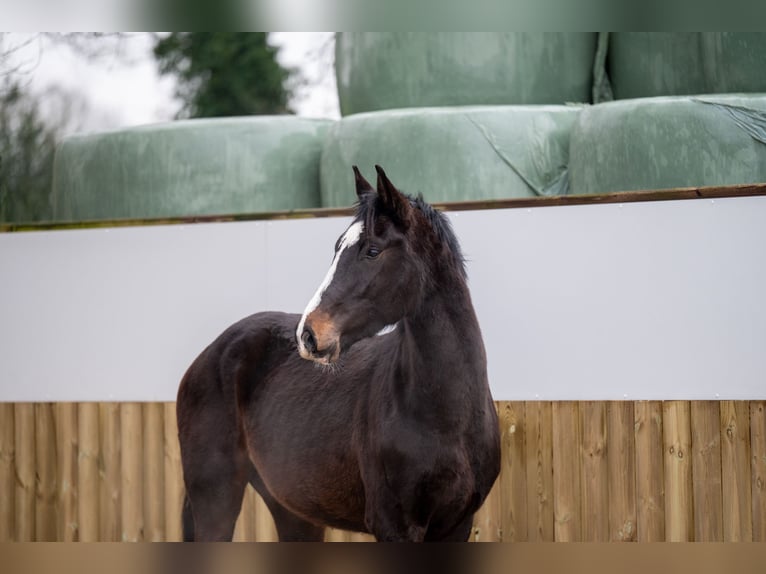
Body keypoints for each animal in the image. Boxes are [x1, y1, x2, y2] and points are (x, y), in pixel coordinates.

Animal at [176, 164, 504, 544]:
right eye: (337, 248)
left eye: (372, 251)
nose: (308, 334)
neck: (446, 418)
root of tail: (207, 357)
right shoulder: (394, 526)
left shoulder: (456, 526)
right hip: (216, 497)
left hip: (293, 511)